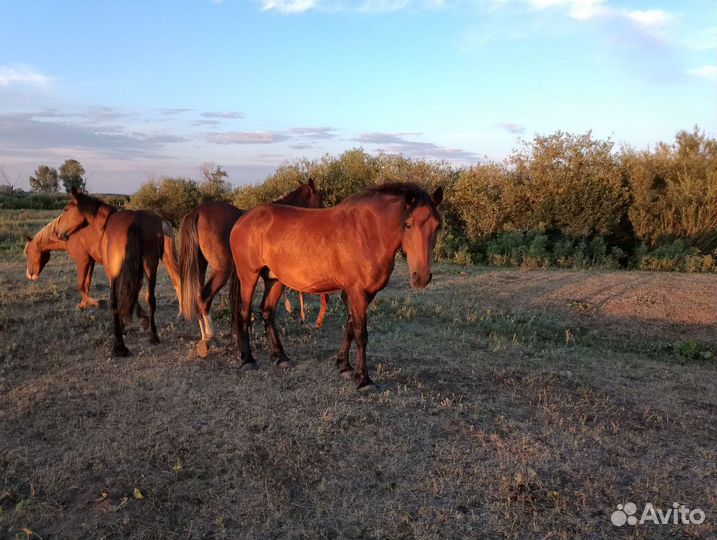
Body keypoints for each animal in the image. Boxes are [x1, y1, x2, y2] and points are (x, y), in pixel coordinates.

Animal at [56, 188, 182, 356]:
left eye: (66, 209)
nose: (58, 232)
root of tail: (134, 223)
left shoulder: (111, 270)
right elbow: (133, 294)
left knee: (114, 300)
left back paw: (119, 346)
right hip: (152, 263)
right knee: (153, 296)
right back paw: (154, 335)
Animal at [178, 179, 325, 357]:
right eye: (319, 199)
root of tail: (196, 212)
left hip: (200, 265)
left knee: (197, 296)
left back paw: (204, 338)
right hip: (222, 270)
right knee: (205, 297)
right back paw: (209, 336)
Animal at [229, 182, 443, 391]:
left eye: (437, 226)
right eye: (408, 224)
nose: (421, 277)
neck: (368, 232)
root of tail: (243, 219)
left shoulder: (365, 293)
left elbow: (350, 327)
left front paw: (344, 367)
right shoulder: (356, 291)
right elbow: (361, 333)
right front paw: (364, 380)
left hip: (275, 279)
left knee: (267, 311)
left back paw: (280, 357)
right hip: (249, 276)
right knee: (244, 313)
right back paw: (248, 359)